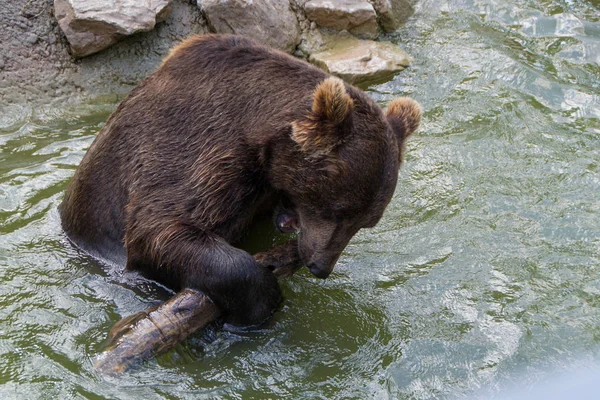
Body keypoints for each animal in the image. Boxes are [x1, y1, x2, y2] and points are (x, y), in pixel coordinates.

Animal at [58, 34, 420, 328]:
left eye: (366, 222)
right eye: (338, 210)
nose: (320, 266)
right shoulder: (195, 148)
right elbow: (159, 227)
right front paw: (262, 300)